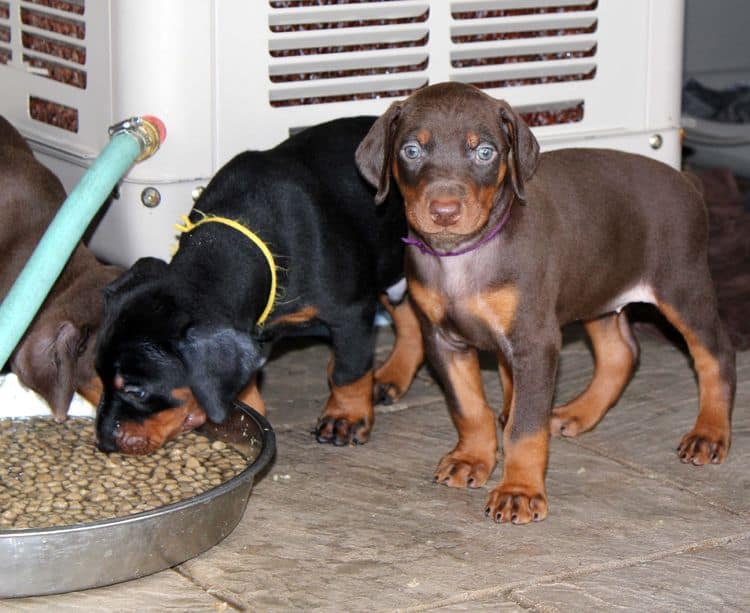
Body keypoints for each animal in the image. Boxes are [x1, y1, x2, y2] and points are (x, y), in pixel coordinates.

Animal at [94, 117, 426, 454]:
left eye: (137, 391)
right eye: (98, 374)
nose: (104, 442)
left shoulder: (350, 312)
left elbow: (349, 370)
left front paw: (345, 417)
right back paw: (393, 376)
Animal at [356, 80, 736, 520]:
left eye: (485, 152)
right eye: (411, 151)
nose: (444, 212)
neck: (464, 255)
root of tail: (688, 183)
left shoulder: (534, 342)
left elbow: (523, 427)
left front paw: (518, 490)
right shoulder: (443, 340)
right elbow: (468, 407)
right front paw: (472, 459)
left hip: (681, 285)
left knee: (716, 354)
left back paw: (709, 433)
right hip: (598, 289)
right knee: (621, 352)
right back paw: (577, 413)